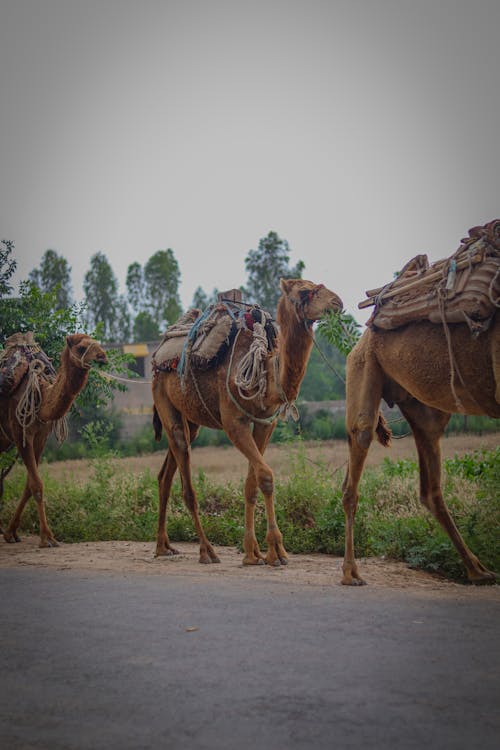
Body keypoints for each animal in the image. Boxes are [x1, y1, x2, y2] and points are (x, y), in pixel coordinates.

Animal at [0, 334, 107, 548]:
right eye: (81, 347)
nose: (103, 356)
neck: (41, 396)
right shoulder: (20, 433)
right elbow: (36, 485)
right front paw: (46, 538)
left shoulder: (41, 436)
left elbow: (29, 485)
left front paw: (11, 533)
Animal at [152, 280, 344, 568]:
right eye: (304, 291)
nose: (337, 302)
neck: (266, 373)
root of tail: (157, 357)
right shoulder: (234, 422)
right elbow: (266, 476)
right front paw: (276, 551)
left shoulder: (265, 422)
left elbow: (251, 482)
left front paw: (253, 553)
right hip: (163, 398)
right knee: (186, 484)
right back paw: (206, 551)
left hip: (191, 420)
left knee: (166, 474)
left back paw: (163, 547)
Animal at [342, 314, 498, 592]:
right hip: (367, 370)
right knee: (359, 448)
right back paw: (351, 574)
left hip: (425, 406)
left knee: (429, 487)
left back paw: (479, 571)